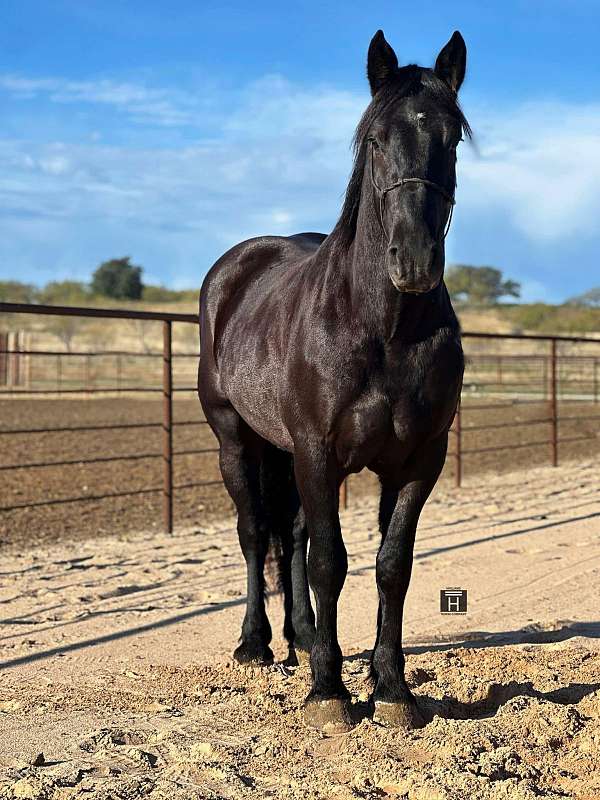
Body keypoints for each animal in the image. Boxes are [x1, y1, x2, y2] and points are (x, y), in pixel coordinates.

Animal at [199, 31, 472, 732]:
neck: (384, 331)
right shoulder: (319, 454)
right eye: (375, 139)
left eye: (453, 138)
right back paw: (258, 644)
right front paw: (330, 693)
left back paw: (301, 635)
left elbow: (391, 566)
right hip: (236, 441)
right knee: (255, 535)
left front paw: (392, 688)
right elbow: (330, 561)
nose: (415, 260)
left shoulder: (418, 461)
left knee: (290, 535)